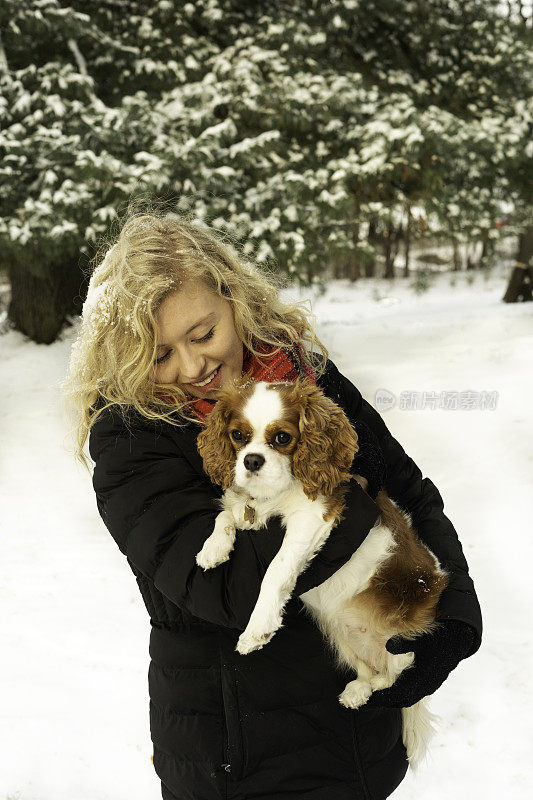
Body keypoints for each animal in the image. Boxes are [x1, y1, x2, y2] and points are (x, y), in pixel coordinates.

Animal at [193, 378, 446, 764]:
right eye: (237, 435)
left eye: (282, 438)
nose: (251, 460)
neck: (276, 494)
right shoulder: (249, 509)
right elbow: (228, 513)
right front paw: (213, 548)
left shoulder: (314, 517)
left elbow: (276, 569)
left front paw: (258, 629)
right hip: (340, 633)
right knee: (374, 672)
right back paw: (359, 690)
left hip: (401, 635)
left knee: (402, 672)